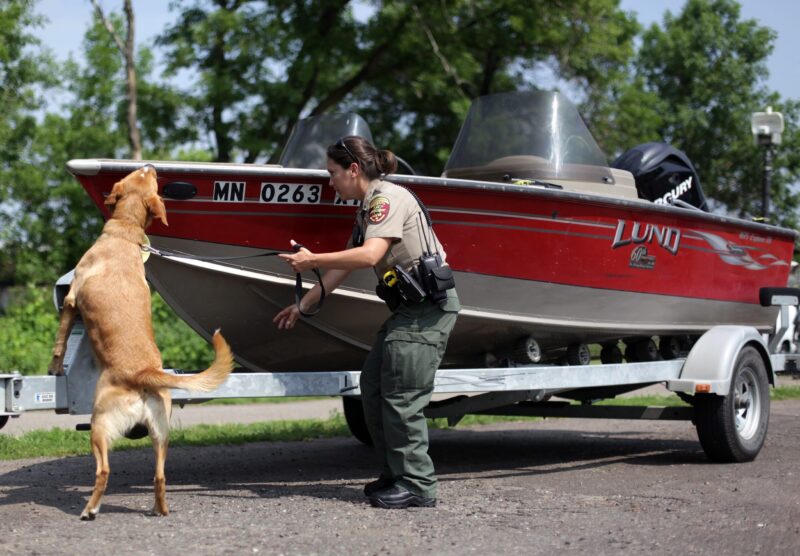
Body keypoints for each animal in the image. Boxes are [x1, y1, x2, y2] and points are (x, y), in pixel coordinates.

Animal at [48, 163, 233, 520]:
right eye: (144, 177)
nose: (150, 165)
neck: (125, 233)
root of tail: (144, 374)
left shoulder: (72, 300)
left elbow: (60, 339)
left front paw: (54, 365)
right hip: (161, 433)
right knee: (160, 476)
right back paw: (160, 509)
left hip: (99, 425)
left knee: (103, 472)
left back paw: (90, 509)